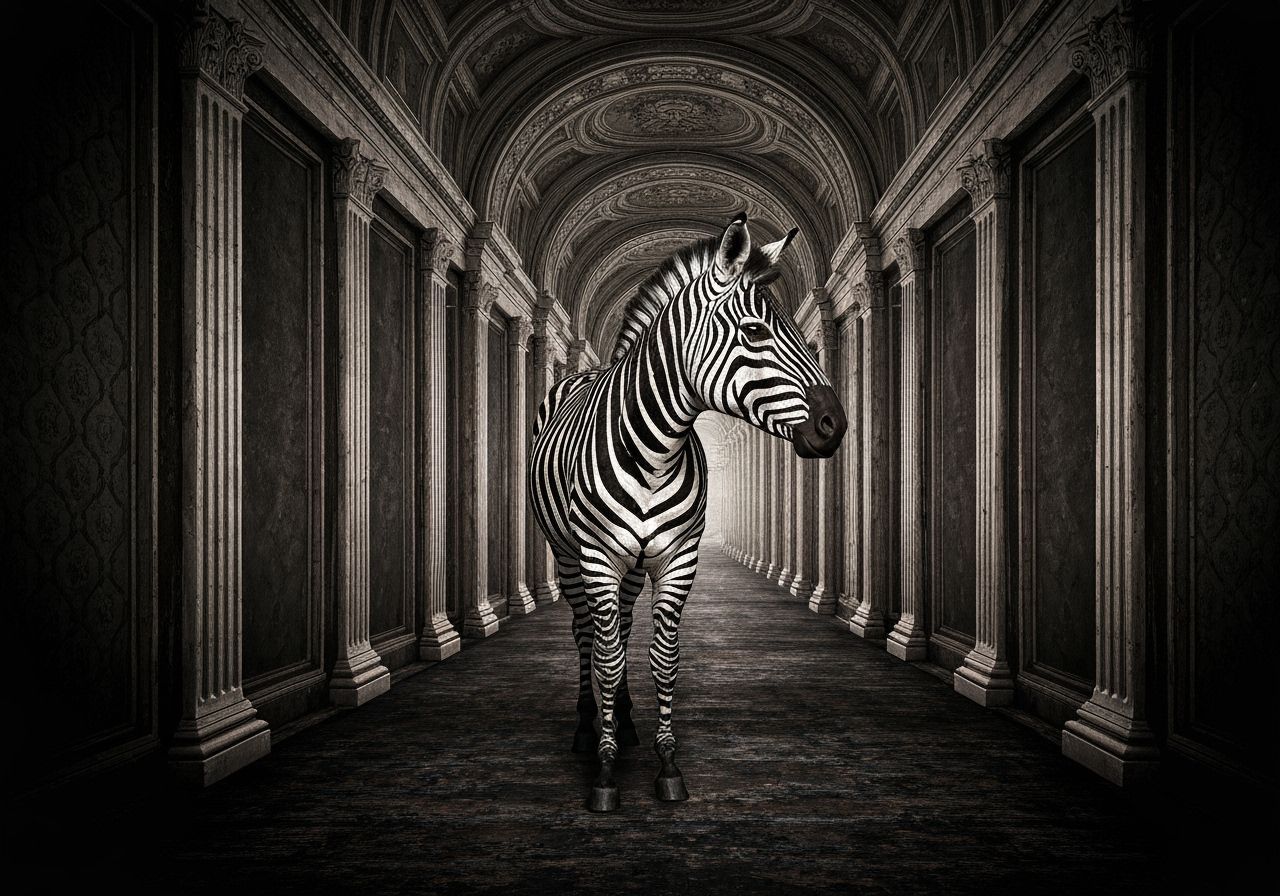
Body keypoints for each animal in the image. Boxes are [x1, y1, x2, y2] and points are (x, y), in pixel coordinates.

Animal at [528, 213, 847, 812]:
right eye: (754, 331)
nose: (835, 425)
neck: (654, 451)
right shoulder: (598, 557)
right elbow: (606, 656)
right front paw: (606, 773)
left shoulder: (678, 558)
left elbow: (662, 656)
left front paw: (666, 762)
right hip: (568, 554)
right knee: (586, 634)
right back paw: (587, 728)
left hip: (632, 566)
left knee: (620, 627)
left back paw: (626, 720)